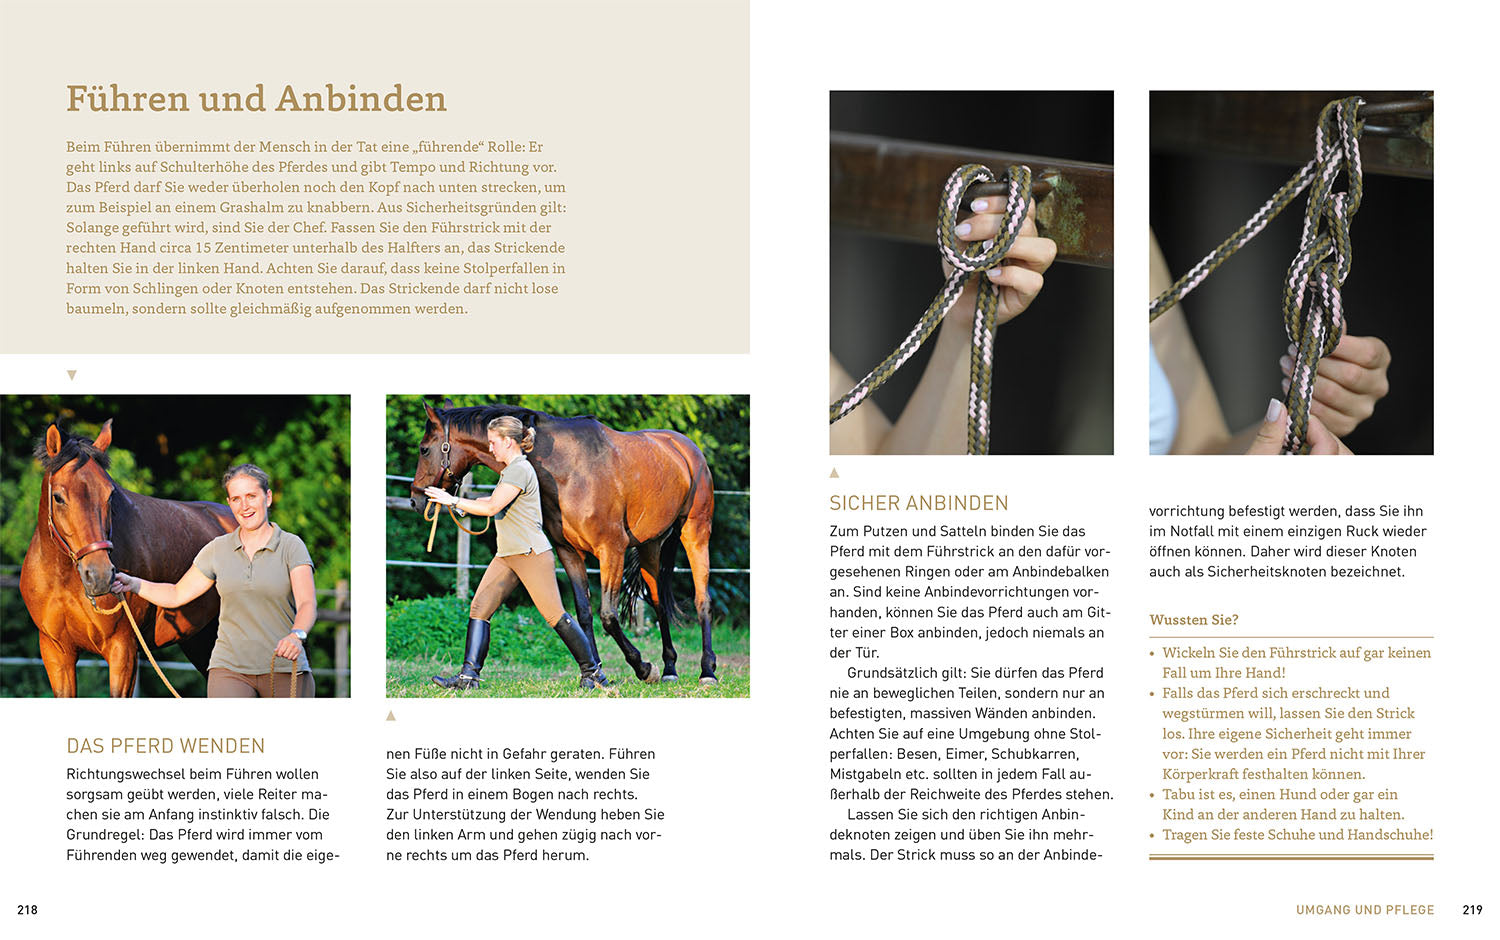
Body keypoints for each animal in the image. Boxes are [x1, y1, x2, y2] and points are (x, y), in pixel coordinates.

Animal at [19, 422, 236, 697]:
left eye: (110, 495)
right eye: (58, 497)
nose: (100, 576)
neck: (63, 579)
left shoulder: (122, 649)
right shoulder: (56, 651)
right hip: (201, 640)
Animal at [408, 401, 719, 683]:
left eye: (424, 449)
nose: (415, 499)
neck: (569, 470)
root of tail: (686, 448)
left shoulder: (611, 550)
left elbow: (608, 615)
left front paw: (642, 667)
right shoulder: (569, 552)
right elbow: (583, 614)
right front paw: (594, 675)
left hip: (695, 533)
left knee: (702, 599)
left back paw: (707, 672)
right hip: (650, 547)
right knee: (658, 603)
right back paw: (669, 669)